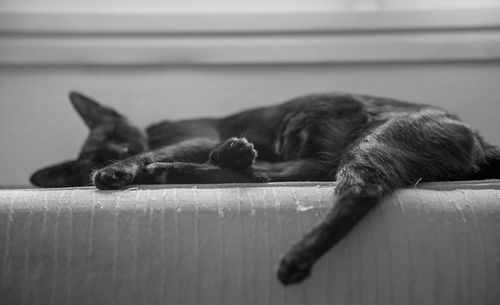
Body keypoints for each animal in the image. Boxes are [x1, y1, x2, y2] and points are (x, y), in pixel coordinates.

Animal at [30, 89, 500, 282]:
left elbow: (149, 153)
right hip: (321, 155)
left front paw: (120, 170)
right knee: (274, 173)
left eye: (115, 137)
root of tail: (479, 139)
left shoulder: (194, 135)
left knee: (359, 189)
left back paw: (296, 257)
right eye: (100, 148)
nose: (115, 153)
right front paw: (123, 170)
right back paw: (217, 161)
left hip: (372, 139)